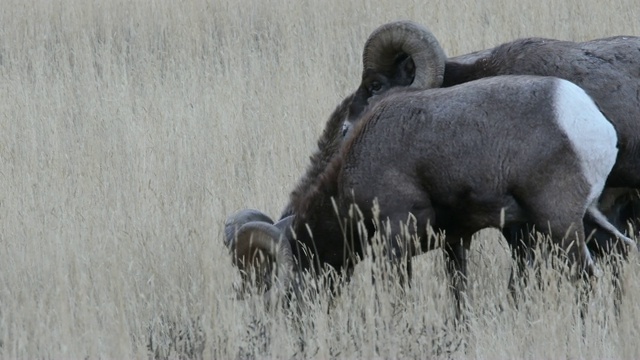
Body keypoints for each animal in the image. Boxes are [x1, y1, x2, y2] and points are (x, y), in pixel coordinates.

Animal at [226, 74, 624, 312]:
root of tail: (595, 124)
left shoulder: (397, 232)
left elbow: (395, 294)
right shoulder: (456, 240)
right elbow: (458, 294)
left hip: (559, 224)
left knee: (587, 277)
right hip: (589, 218)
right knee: (620, 251)